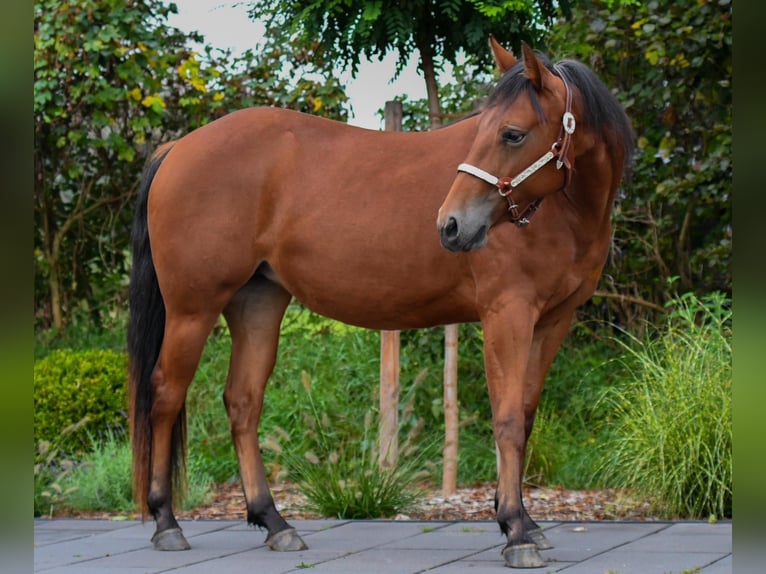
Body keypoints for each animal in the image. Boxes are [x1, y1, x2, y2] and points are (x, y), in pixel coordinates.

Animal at [128, 38, 634, 568]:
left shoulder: (553, 320)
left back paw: (274, 522)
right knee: (165, 394)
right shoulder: (507, 314)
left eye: (512, 134)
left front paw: (526, 524)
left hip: (257, 302)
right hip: (192, 309)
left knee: (243, 402)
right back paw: (166, 521)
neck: (563, 213)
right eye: (487, 128)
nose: (451, 224)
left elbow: (528, 415)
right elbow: (509, 419)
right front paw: (515, 530)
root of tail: (176, 148)